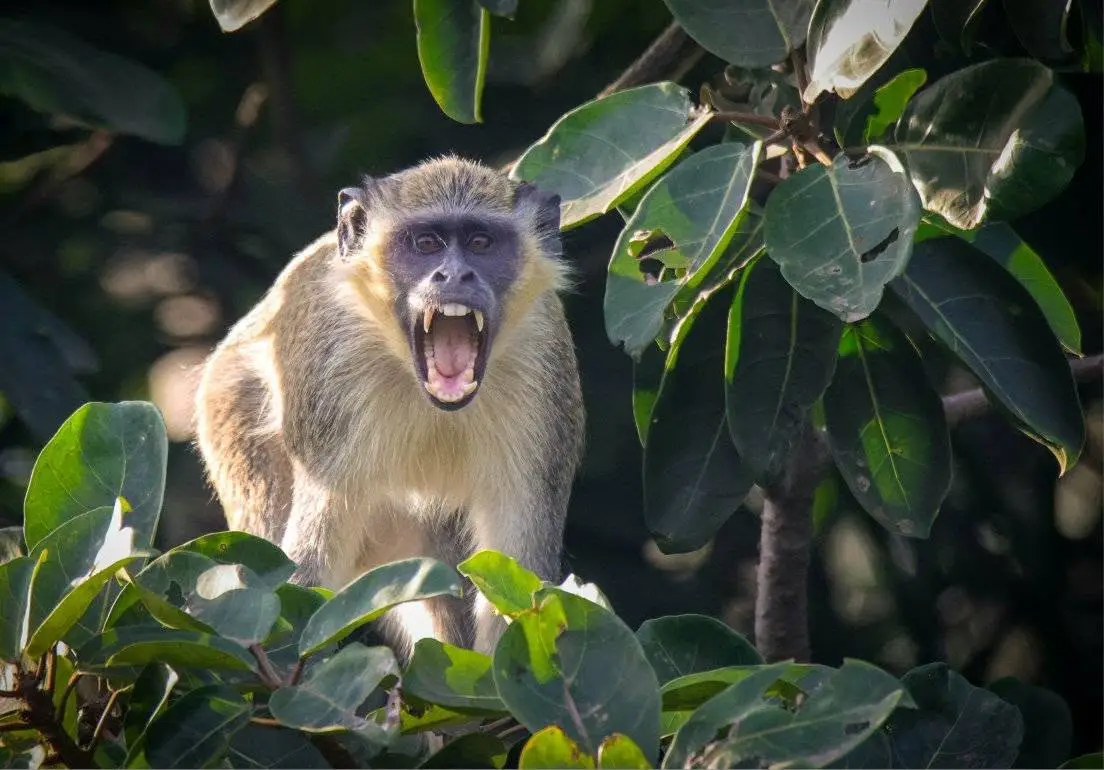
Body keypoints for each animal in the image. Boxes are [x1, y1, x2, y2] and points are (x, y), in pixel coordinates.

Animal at [192, 156, 585, 658]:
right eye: (426, 244)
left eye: (481, 243)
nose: (453, 276)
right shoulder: (332, 386)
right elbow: (307, 567)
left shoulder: (544, 375)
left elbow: (520, 578)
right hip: (230, 407)